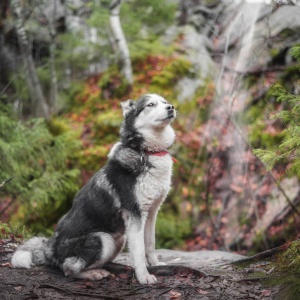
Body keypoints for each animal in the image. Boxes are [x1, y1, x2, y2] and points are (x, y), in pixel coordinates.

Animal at [11, 93, 176, 284]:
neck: (147, 152)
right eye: (150, 104)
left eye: (165, 102)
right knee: (68, 269)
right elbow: (139, 251)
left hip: (118, 239)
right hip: (103, 239)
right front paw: (144, 277)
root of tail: (50, 249)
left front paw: (156, 265)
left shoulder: (151, 213)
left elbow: (150, 244)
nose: (171, 107)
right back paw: (93, 274)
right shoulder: (135, 215)